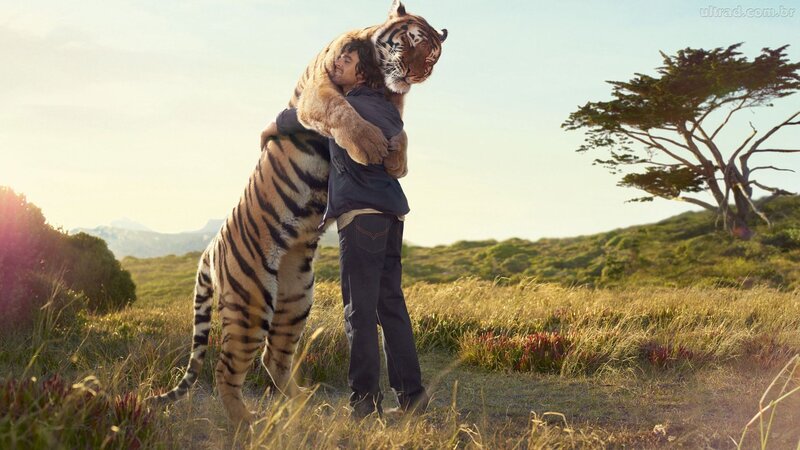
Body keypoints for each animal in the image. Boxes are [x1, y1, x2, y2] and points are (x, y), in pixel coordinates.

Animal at [149, 0, 447, 424]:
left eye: (433, 57)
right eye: (411, 42)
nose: (417, 73)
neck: (377, 79)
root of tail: (210, 248)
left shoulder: (394, 105)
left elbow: (401, 130)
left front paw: (395, 160)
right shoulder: (319, 92)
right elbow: (342, 110)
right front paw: (371, 146)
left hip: (295, 299)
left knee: (273, 358)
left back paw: (304, 406)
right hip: (252, 303)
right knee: (227, 368)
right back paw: (248, 423)